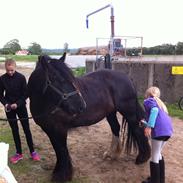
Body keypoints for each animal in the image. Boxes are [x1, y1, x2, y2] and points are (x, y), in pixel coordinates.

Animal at [27, 53, 150, 183]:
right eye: (55, 78)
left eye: (71, 78)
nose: (81, 105)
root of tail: (127, 78)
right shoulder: (49, 130)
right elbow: (57, 150)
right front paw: (58, 172)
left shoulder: (60, 130)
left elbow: (62, 150)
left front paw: (62, 175)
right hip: (111, 113)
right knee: (115, 128)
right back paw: (112, 154)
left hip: (128, 111)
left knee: (137, 129)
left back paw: (142, 158)